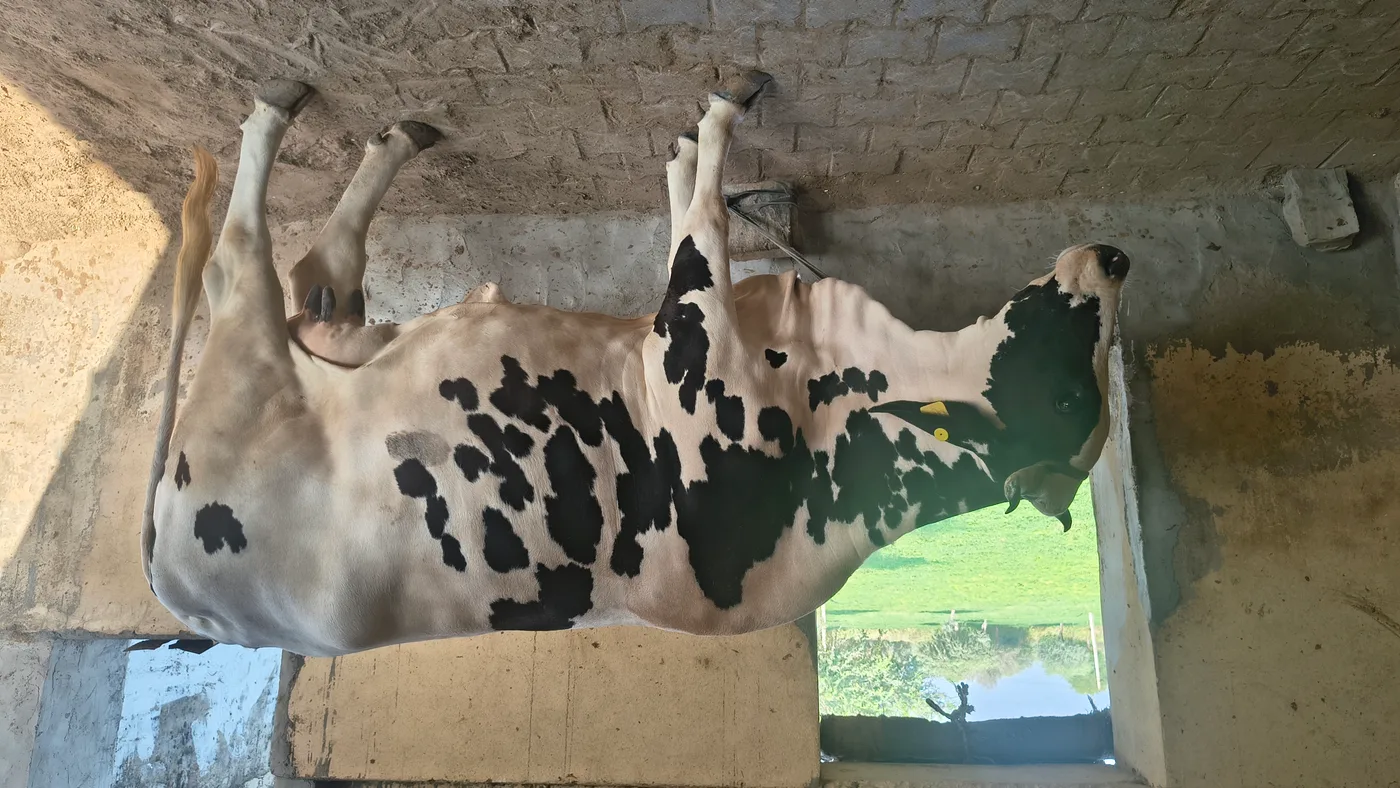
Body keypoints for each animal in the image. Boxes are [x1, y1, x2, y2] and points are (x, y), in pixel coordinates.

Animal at [141, 73, 1130, 658]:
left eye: (1067, 396)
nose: (1119, 257)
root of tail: (175, 590)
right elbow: (693, 205)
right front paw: (689, 145)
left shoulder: (690, 336)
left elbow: (706, 221)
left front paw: (716, 120)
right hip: (313, 328)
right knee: (322, 273)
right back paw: (392, 138)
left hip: (248, 353)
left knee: (246, 251)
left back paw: (284, 115)